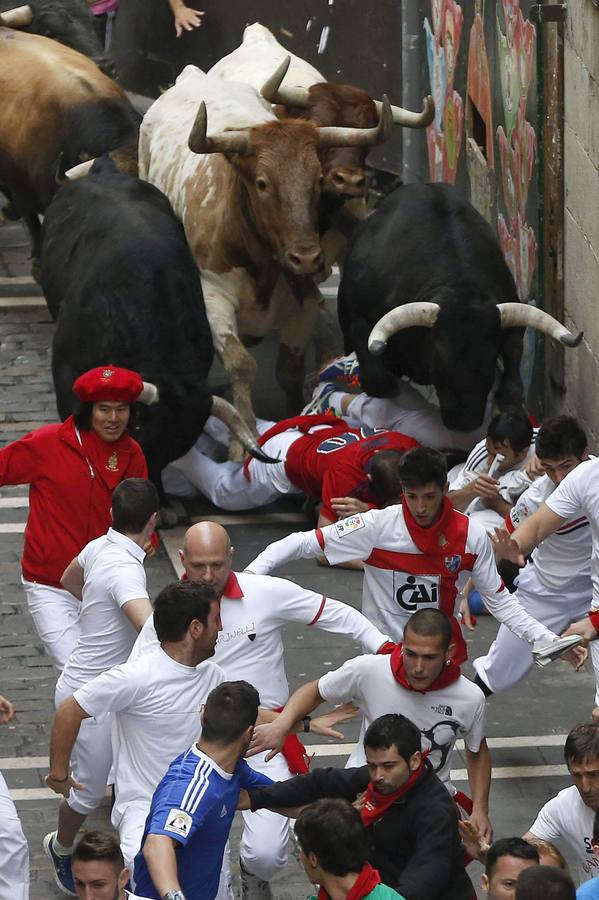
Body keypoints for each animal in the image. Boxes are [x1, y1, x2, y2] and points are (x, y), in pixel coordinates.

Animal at [340, 183, 584, 432]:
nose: (464, 422)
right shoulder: (360, 318)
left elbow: (513, 371)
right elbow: (377, 379)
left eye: (489, 361)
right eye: (438, 360)